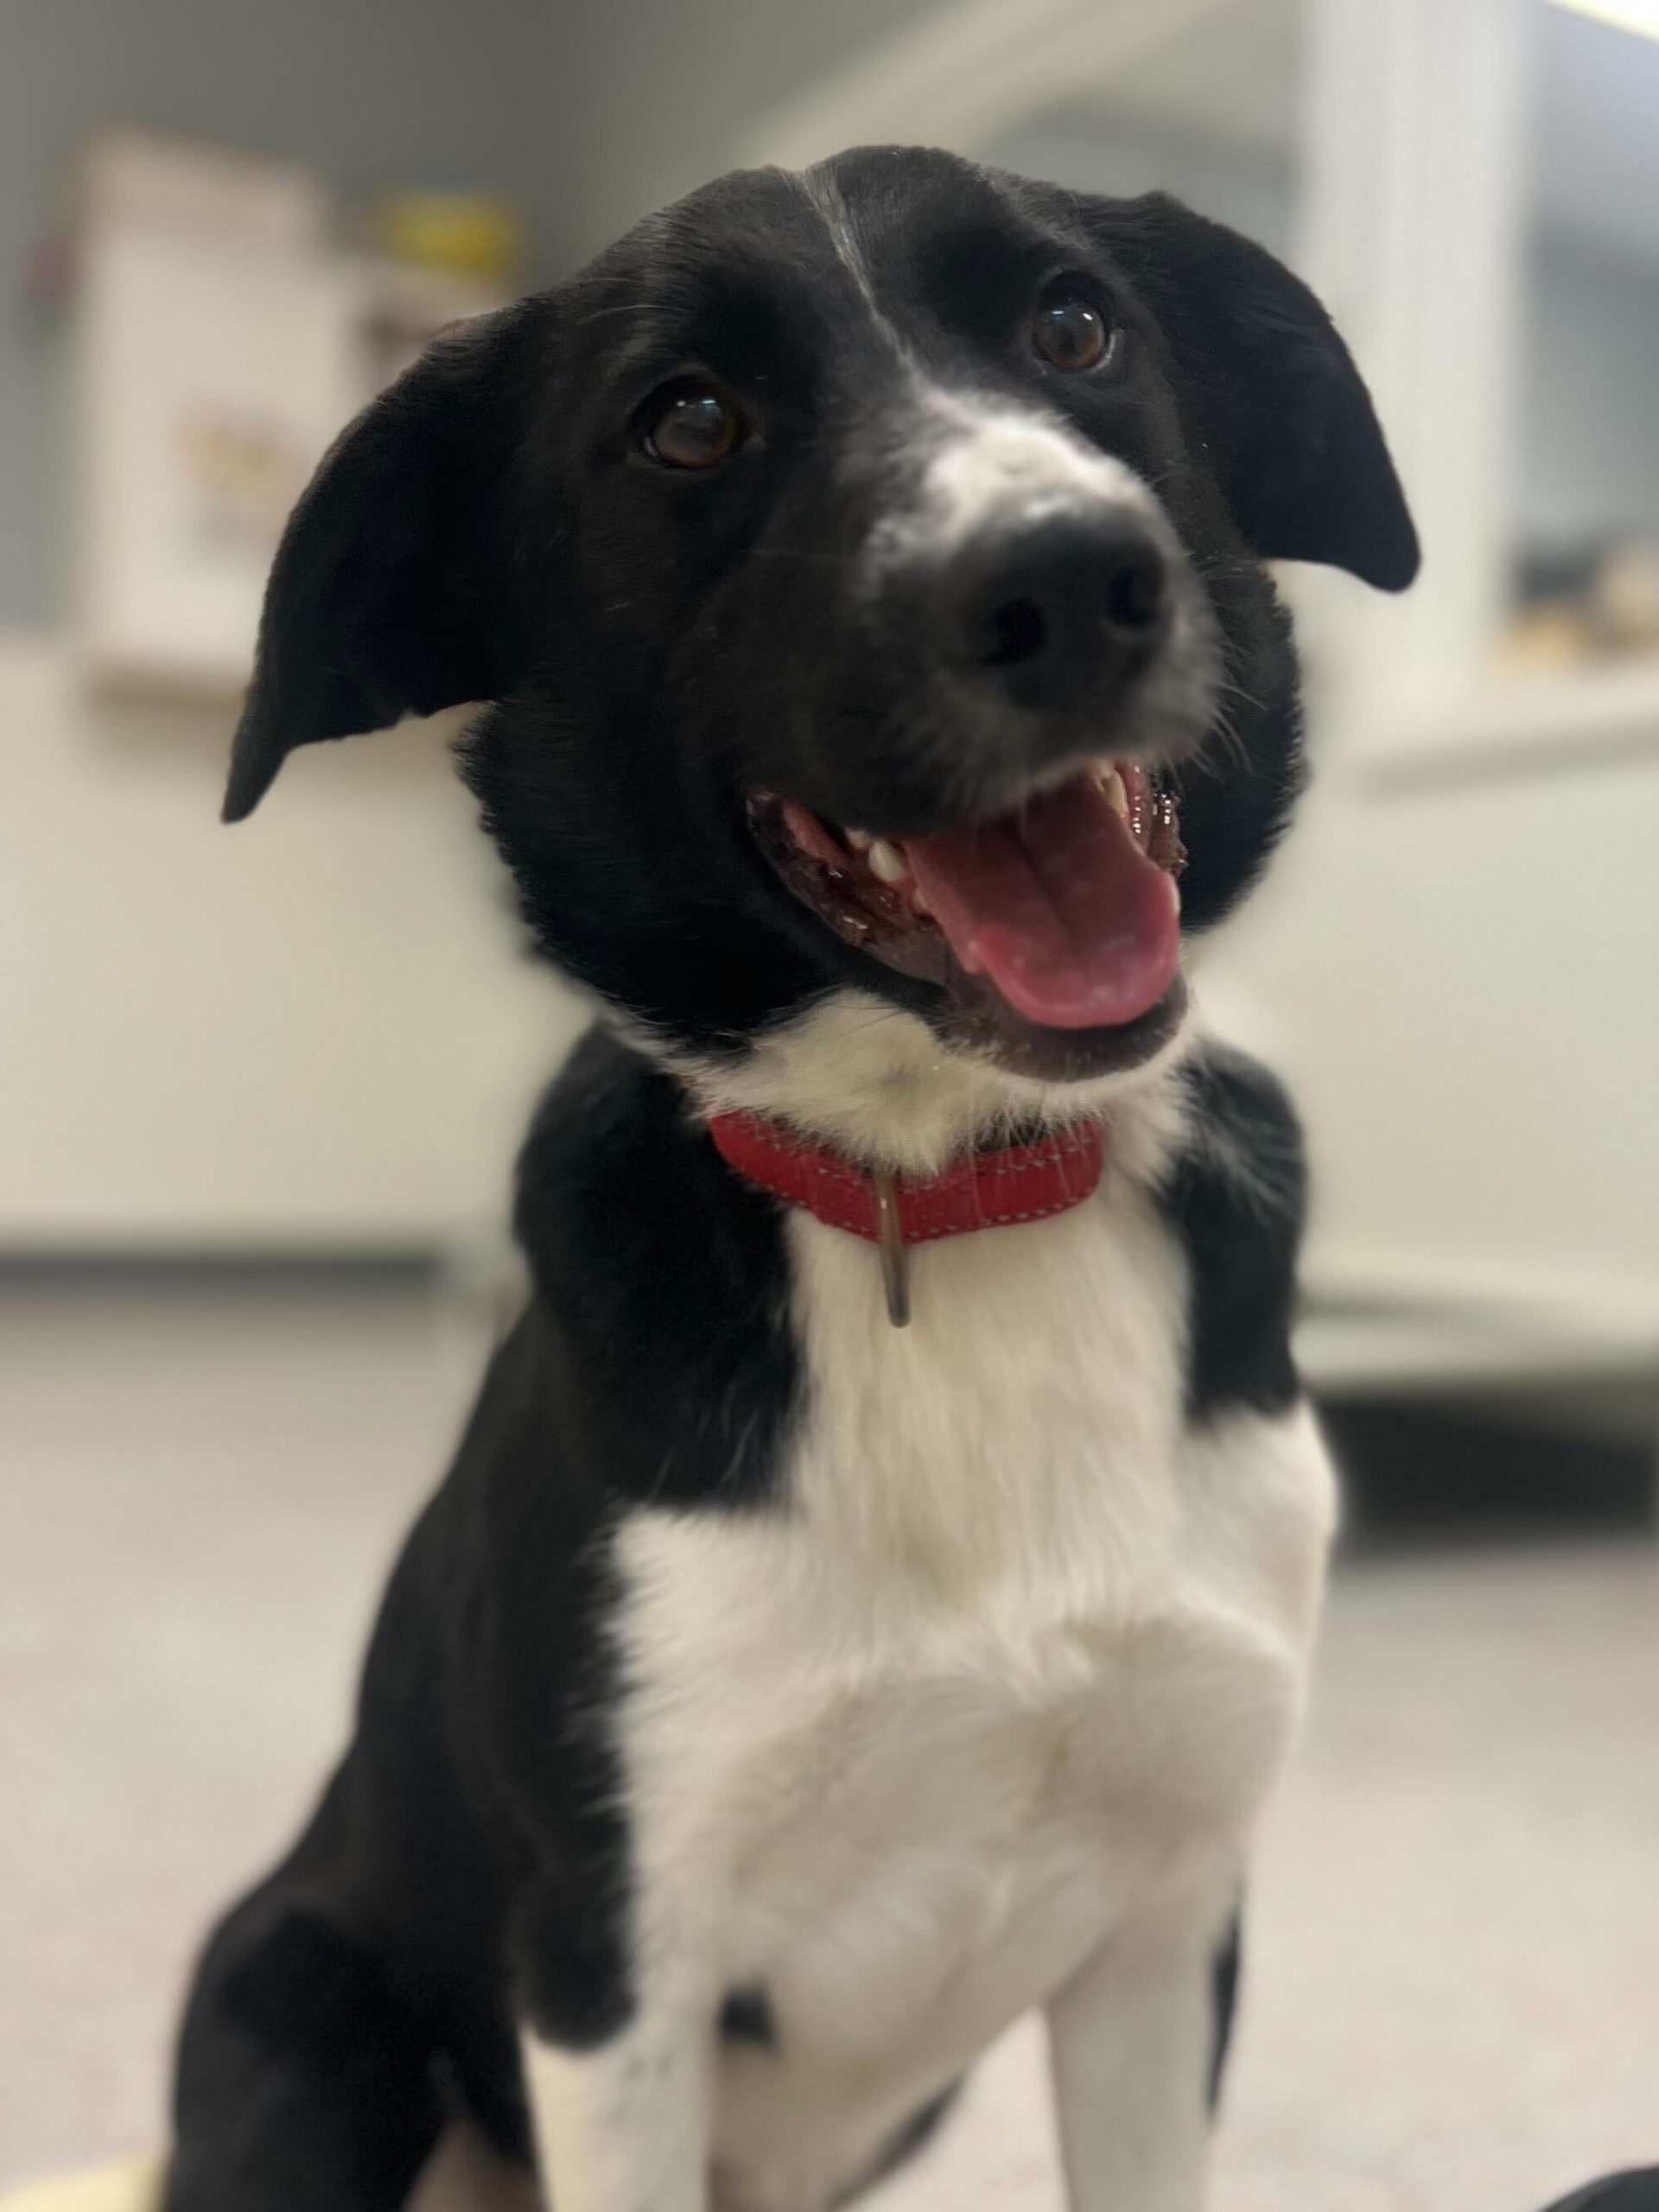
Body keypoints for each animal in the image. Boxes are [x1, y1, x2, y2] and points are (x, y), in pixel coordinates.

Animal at [163, 145, 1417, 2212]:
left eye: (1075, 324)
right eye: (688, 420)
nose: (1067, 577)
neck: (944, 1186)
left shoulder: (1170, 1928)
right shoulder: (617, 1963)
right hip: (304, 2010)